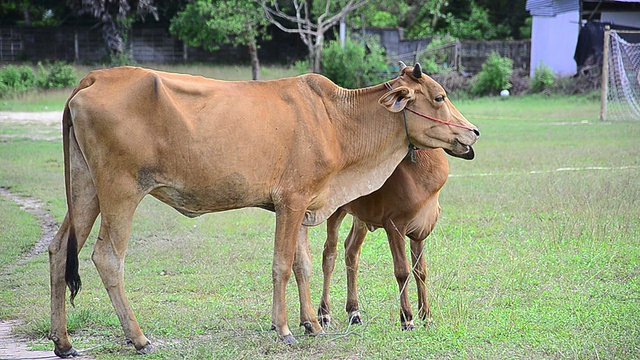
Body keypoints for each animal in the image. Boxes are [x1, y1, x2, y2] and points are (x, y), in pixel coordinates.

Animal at [316, 148, 448, 330]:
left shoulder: (419, 230)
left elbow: (420, 271)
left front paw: (427, 316)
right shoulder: (394, 226)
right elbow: (402, 271)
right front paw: (407, 318)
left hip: (361, 217)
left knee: (351, 250)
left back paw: (354, 312)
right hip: (335, 212)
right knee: (329, 254)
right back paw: (324, 314)